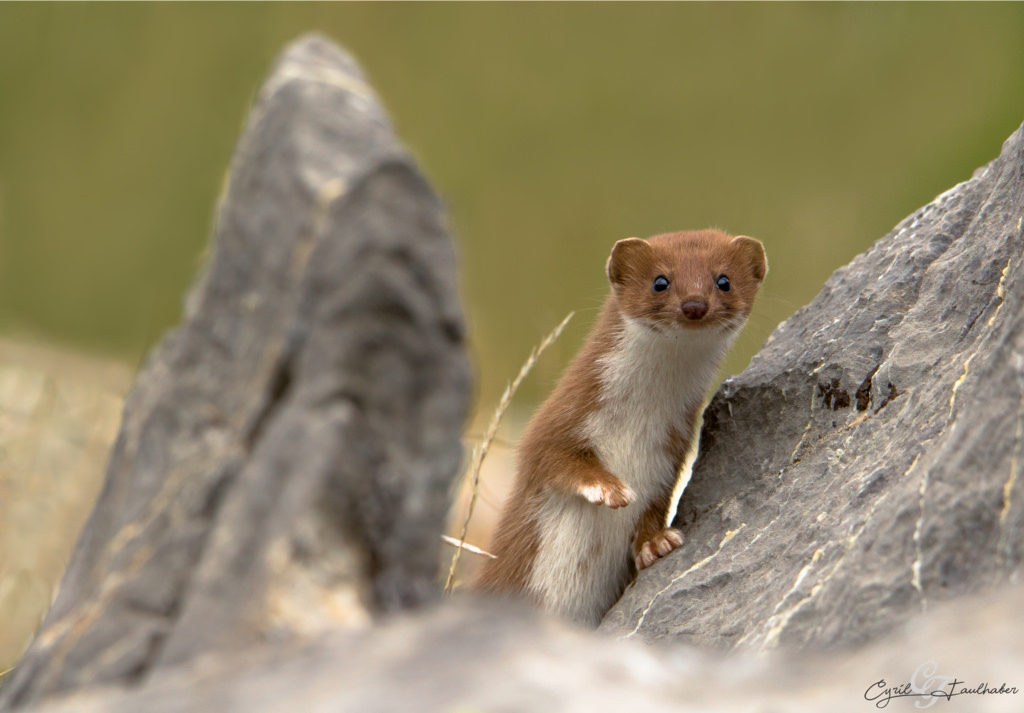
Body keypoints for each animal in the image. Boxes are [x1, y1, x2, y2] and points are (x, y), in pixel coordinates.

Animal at [475, 228, 765, 622]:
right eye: (660, 281)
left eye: (724, 281)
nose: (694, 305)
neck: (636, 425)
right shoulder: (560, 418)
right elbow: (552, 458)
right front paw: (608, 488)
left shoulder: (672, 451)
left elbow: (657, 504)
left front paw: (656, 542)